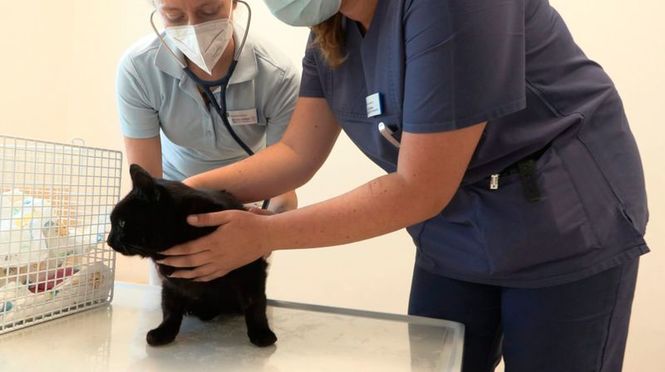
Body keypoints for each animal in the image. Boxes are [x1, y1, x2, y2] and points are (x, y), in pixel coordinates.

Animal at [107, 164, 278, 348]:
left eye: (121, 223)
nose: (109, 241)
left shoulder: (250, 269)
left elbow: (255, 302)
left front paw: (262, 333)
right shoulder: (172, 281)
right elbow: (170, 308)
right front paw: (164, 332)